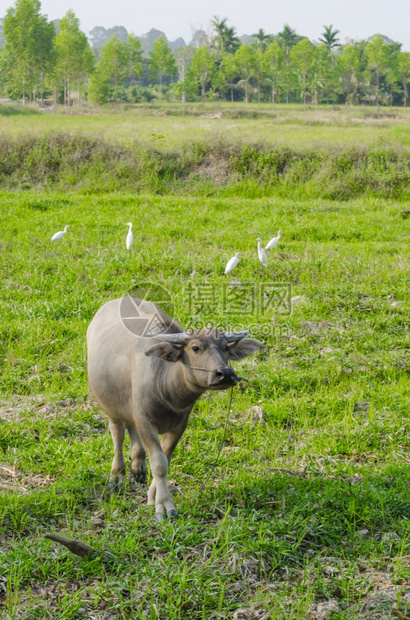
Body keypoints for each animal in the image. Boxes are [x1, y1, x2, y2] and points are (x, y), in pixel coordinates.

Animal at [87, 298, 262, 520]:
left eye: (225, 348)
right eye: (195, 348)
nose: (225, 373)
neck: (167, 391)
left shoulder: (179, 425)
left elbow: (166, 459)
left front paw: (153, 496)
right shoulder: (146, 421)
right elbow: (159, 463)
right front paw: (164, 506)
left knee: (130, 426)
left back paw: (138, 464)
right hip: (109, 405)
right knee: (117, 433)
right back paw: (117, 477)